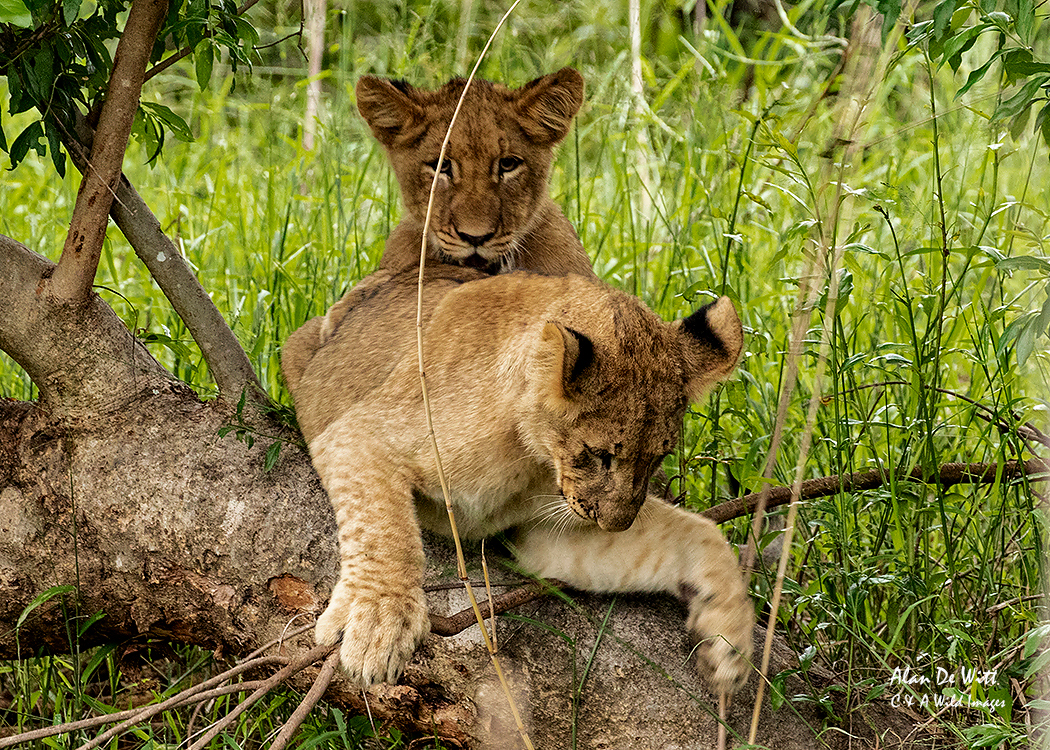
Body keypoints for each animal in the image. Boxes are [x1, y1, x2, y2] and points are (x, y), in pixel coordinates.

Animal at [281, 265, 754, 696]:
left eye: (659, 457)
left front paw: (730, 646)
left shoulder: (538, 533)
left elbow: (697, 532)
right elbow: (384, 528)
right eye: (600, 455)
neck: (531, 457)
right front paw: (381, 622)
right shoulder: (357, 432)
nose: (616, 524)